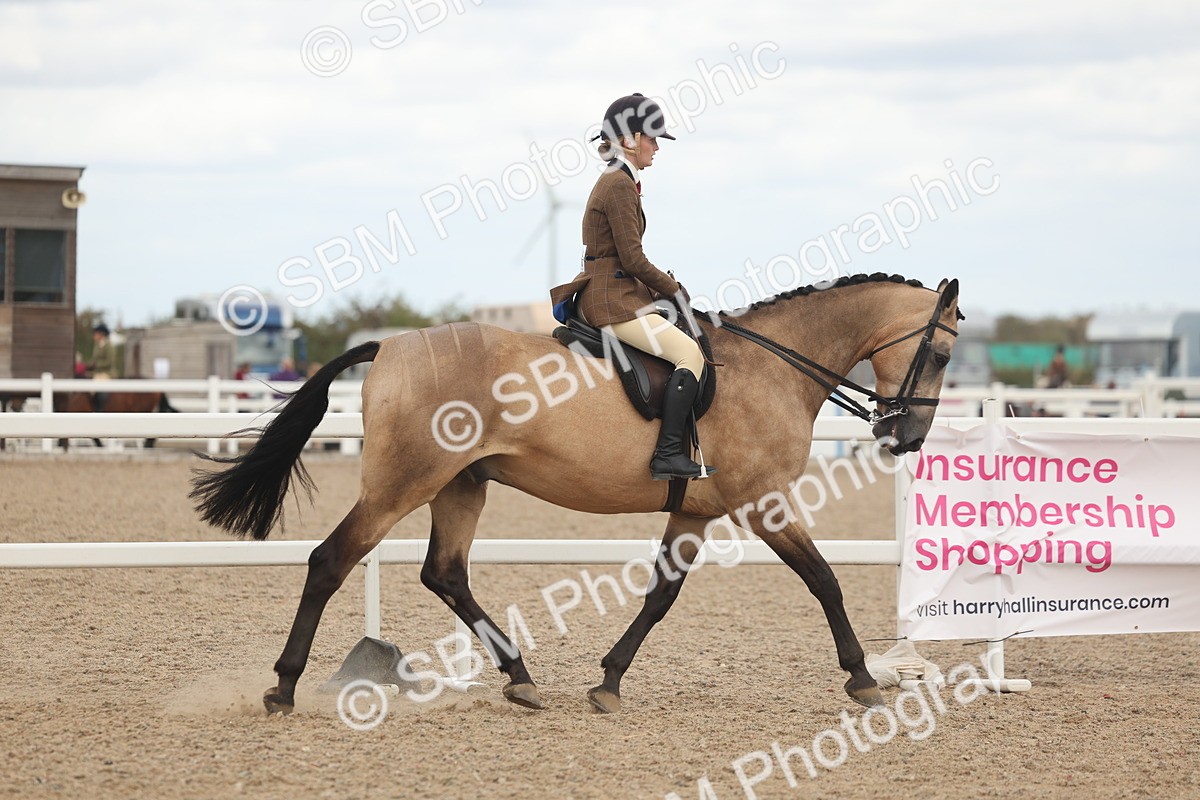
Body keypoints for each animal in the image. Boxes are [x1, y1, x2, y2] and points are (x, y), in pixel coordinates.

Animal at [191, 273, 961, 715]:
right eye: (943, 352)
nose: (908, 437)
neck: (772, 366)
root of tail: (391, 346)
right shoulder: (763, 503)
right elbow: (825, 580)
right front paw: (863, 677)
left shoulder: (694, 512)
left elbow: (659, 597)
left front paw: (609, 682)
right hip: (405, 482)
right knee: (331, 560)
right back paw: (284, 687)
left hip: (461, 486)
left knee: (445, 573)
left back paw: (521, 678)